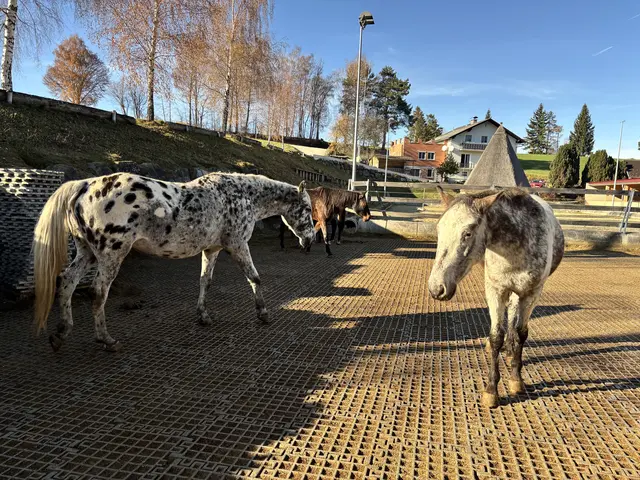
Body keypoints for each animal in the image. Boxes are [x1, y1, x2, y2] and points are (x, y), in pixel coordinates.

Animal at [33, 172, 315, 352]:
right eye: (308, 209)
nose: (310, 240)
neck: (241, 195)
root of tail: (84, 185)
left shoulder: (211, 249)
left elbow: (205, 282)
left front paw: (203, 316)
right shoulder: (237, 245)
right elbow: (254, 278)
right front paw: (263, 313)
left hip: (87, 252)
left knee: (67, 281)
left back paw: (61, 333)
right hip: (111, 254)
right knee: (98, 292)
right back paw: (106, 340)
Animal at [428, 186, 564, 408]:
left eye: (467, 233)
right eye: (439, 230)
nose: (436, 288)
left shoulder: (532, 293)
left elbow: (521, 332)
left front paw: (516, 380)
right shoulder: (495, 290)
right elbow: (496, 336)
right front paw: (491, 390)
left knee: (515, 323)